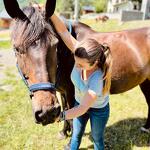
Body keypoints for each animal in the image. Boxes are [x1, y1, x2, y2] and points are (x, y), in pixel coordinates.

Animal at [3, 0, 150, 135]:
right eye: (16, 48)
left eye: (55, 45)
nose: (47, 112)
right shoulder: (62, 91)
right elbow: (65, 110)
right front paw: (64, 132)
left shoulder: (71, 92)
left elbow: (73, 116)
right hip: (145, 81)